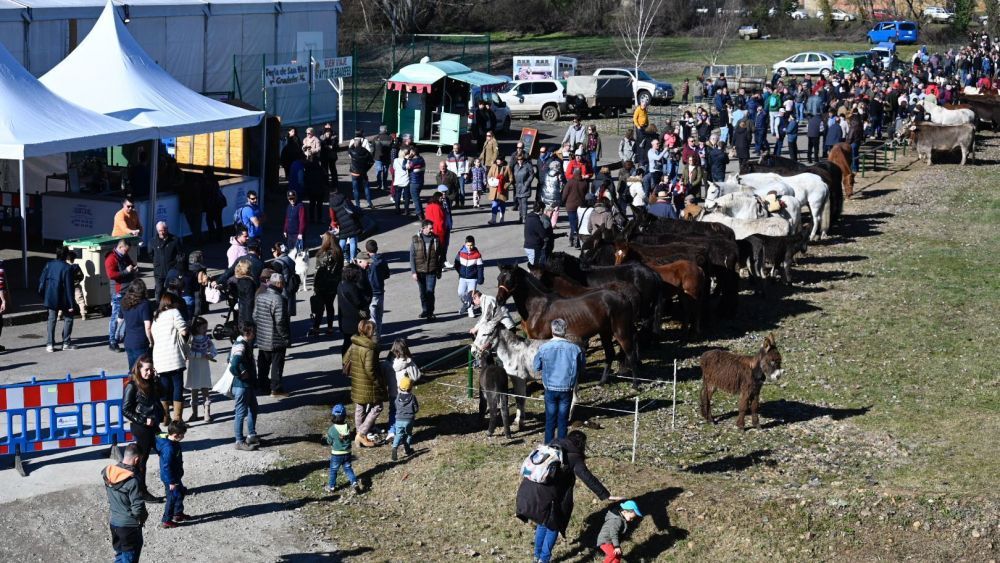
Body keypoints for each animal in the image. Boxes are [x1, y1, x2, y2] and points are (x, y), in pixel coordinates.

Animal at [494, 264, 640, 388]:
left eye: (510, 279)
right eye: (499, 278)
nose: (499, 300)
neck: (537, 307)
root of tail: (623, 297)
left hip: (620, 331)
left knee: (630, 353)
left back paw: (635, 384)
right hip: (605, 332)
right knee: (610, 354)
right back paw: (602, 382)